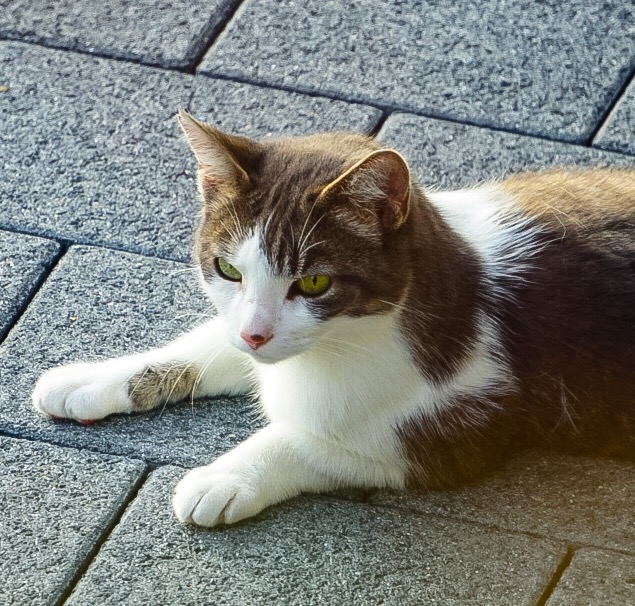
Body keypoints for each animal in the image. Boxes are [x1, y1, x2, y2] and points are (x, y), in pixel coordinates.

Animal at [32, 109, 635, 528]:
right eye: (228, 268)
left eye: (315, 283)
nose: (256, 333)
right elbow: (206, 346)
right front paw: (88, 379)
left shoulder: (456, 429)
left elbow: (320, 440)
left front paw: (223, 477)